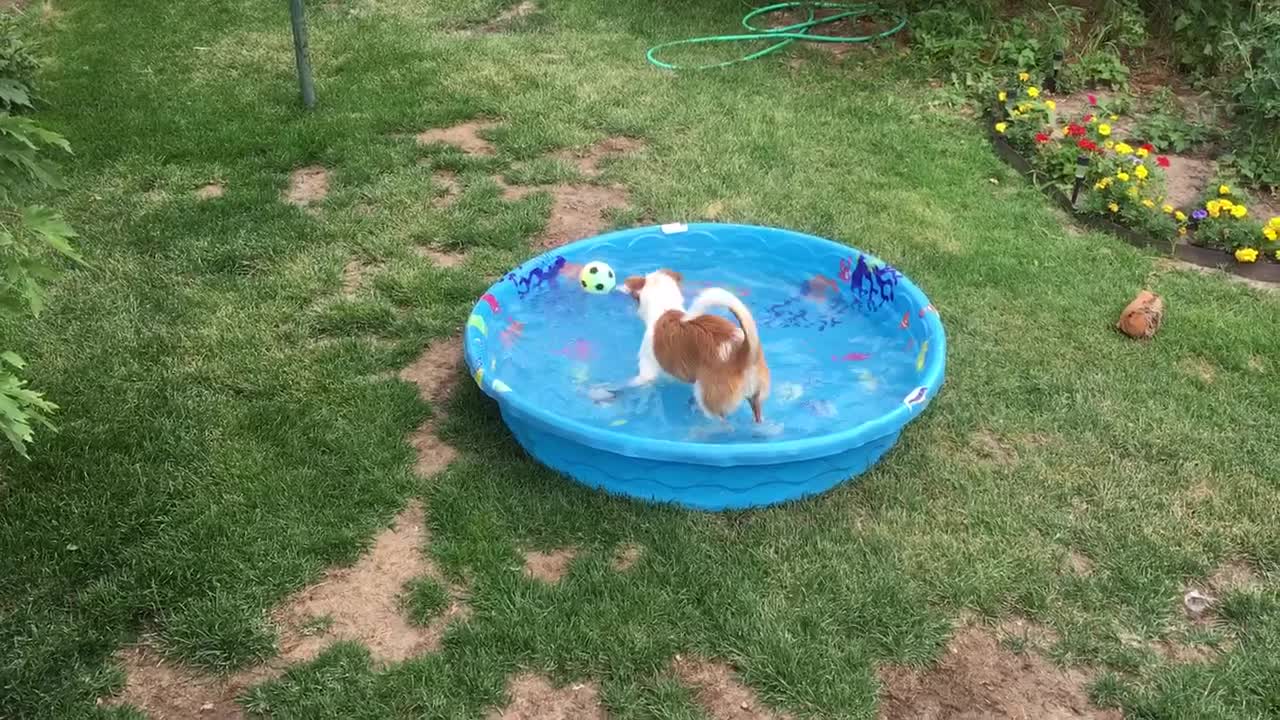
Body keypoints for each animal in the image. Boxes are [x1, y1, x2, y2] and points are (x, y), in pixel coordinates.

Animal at [609, 270, 768, 422]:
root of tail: (744, 351)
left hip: (707, 398)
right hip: (755, 397)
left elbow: (631, 383)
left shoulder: (646, 373)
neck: (665, 308)